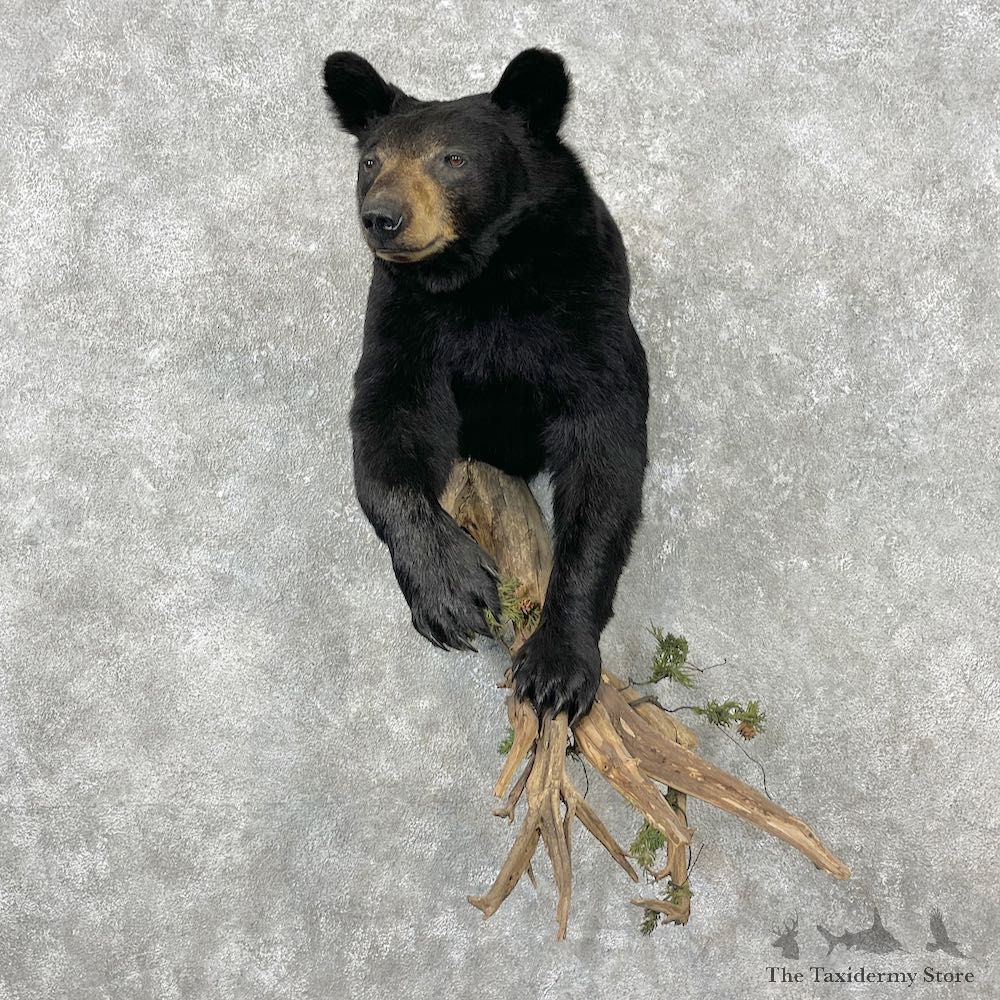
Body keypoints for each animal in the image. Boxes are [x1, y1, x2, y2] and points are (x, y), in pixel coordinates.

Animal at [322, 48, 649, 724]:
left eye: (453, 159)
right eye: (371, 161)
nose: (382, 218)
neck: (479, 281)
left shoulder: (587, 312)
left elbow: (605, 452)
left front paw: (556, 667)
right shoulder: (404, 322)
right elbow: (389, 423)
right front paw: (452, 592)